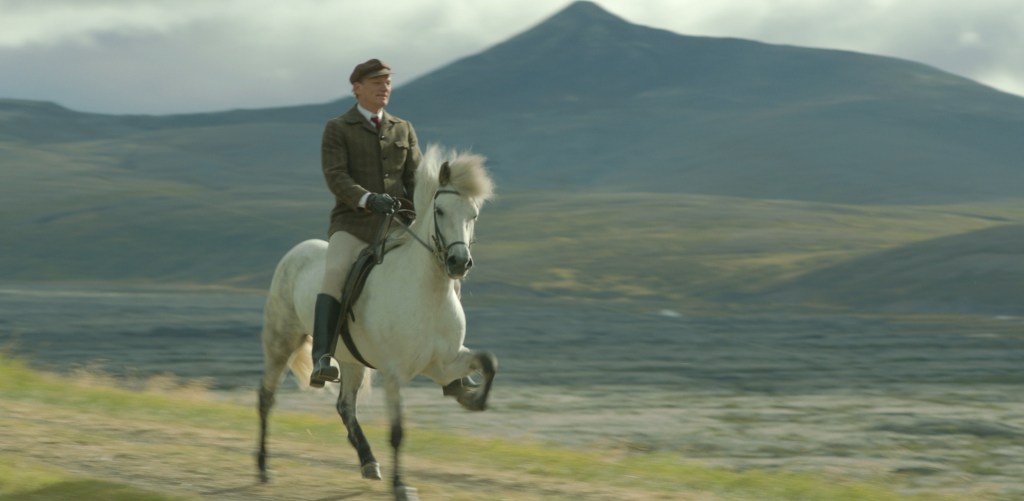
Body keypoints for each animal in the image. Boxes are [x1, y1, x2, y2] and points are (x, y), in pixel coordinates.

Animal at [255, 145, 497, 501]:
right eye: (439, 211)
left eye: (474, 215)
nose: (458, 263)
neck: (428, 293)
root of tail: (297, 252)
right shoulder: (395, 373)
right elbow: (397, 431)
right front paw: (401, 487)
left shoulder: (445, 363)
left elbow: (489, 361)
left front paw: (474, 399)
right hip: (281, 342)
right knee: (266, 397)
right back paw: (262, 467)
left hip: (350, 361)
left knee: (345, 407)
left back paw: (368, 462)